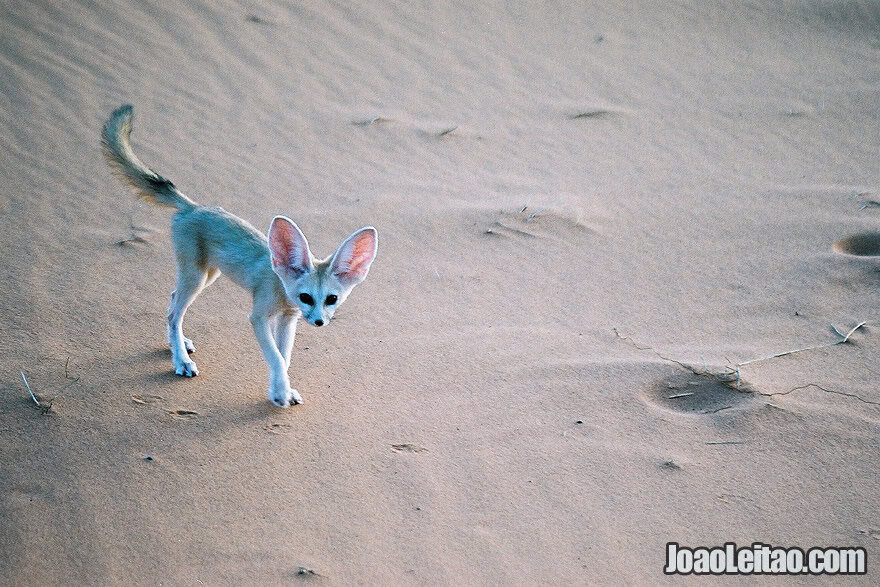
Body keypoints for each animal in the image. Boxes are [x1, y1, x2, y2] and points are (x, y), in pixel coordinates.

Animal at [101, 104, 376, 408]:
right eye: (306, 297)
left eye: (331, 299)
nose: (319, 322)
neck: (281, 288)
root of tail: (194, 207)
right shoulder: (258, 318)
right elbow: (276, 358)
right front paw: (280, 393)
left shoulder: (288, 319)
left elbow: (284, 358)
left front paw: (281, 389)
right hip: (196, 277)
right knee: (174, 313)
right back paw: (181, 360)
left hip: (209, 275)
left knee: (172, 300)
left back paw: (177, 342)